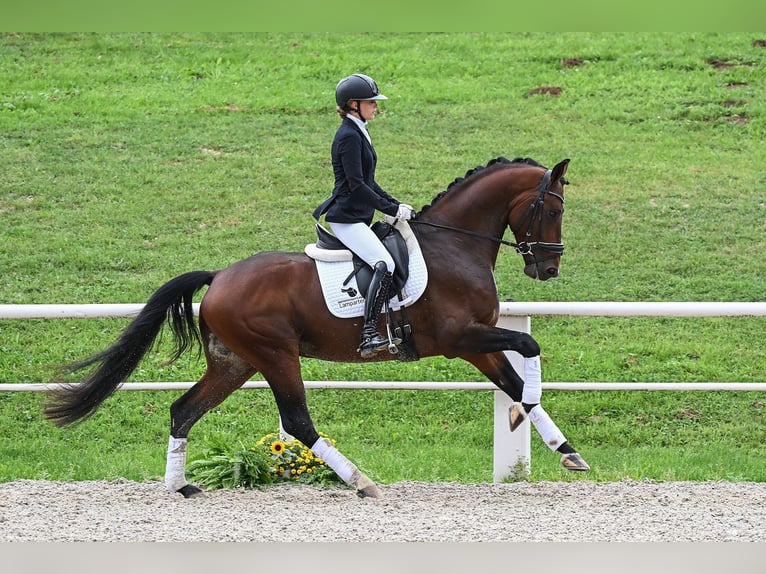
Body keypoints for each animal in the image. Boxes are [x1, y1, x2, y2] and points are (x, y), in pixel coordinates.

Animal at [45, 156, 592, 500]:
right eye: (553, 209)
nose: (548, 269)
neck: (453, 247)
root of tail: (219, 276)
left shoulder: (477, 342)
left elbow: (516, 379)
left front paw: (565, 451)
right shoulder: (460, 338)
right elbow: (529, 345)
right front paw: (524, 419)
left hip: (235, 362)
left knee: (184, 410)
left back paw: (180, 486)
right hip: (275, 355)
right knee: (296, 422)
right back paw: (362, 482)